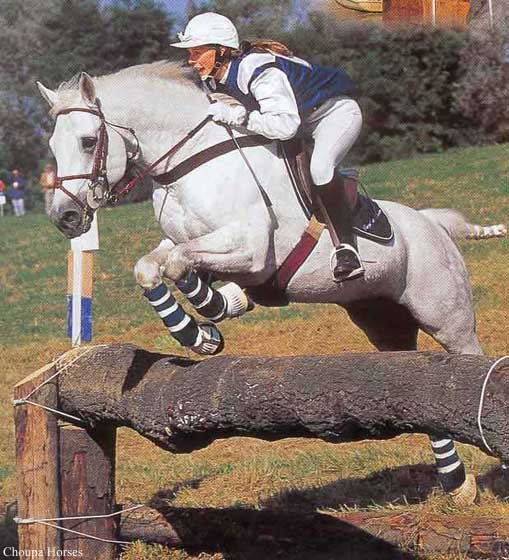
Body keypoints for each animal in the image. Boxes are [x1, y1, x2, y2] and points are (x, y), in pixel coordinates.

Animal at [37, 61, 506, 503]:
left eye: (87, 141)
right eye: (53, 147)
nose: (66, 218)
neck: (192, 164)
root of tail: (432, 223)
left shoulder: (251, 248)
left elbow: (179, 264)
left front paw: (207, 318)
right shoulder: (189, 241)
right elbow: (155, 265)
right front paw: (203, 331)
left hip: (447, 317)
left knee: (469, 367)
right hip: (381, 322)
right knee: (415, 390)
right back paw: (456, 482)